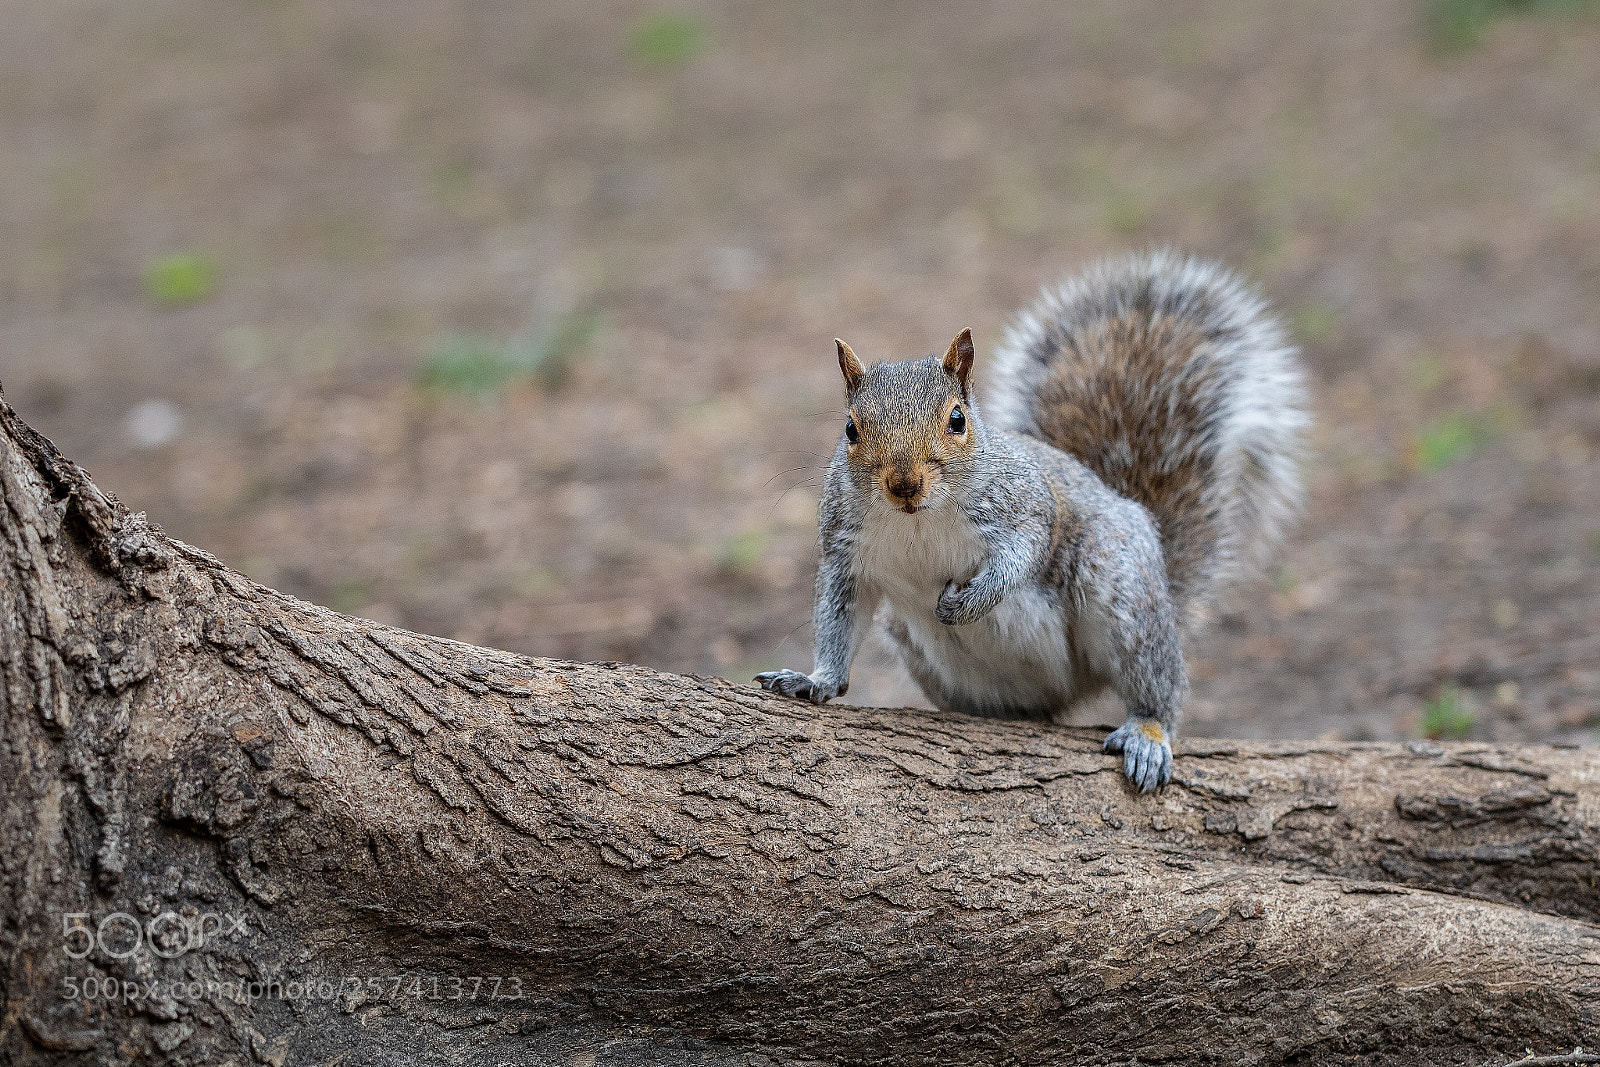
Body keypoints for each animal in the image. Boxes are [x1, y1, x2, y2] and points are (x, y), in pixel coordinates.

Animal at [756, 251, 1309, 791]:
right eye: (851, 429)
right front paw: (816, 680)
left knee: (1156, 677)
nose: (904, 484)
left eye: (957, 419)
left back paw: (1148, 731)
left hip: (1122, 587)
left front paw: (970, 602)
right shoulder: (844, 549)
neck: (916, 520)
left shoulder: (1025, 506)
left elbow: (1026, 552)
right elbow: (838, 617)